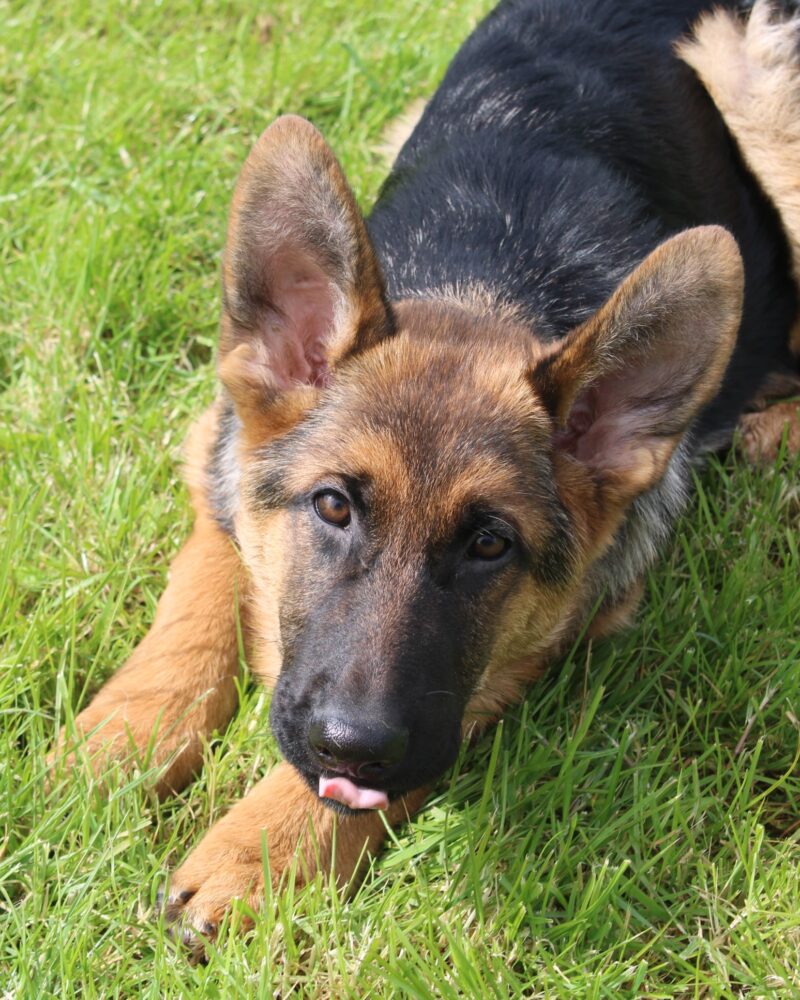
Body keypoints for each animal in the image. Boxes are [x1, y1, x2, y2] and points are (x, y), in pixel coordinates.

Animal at [50, 0, 800, 952]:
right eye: (332, 507)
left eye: (490, 545)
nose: (353, 747)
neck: (489, 276)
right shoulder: (217, 457)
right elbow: (202, 594)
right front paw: (122, 742)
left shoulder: (555, 628)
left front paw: (263, 851)